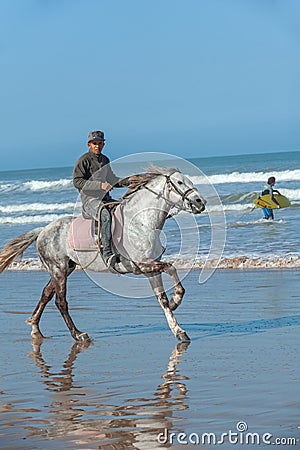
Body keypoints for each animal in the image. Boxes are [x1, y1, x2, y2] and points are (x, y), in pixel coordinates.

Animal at [0, 167, 205, 342]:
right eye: (179, 182)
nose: (200, 202)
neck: (141, 222)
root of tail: (43, 230)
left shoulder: (151, 268)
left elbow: (162, 299)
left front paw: (178, 329)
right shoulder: (142, 265)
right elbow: (171, 267)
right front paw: (176, 300)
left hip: (64, 269)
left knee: (46, 294)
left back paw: (35, 328)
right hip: (58, 270)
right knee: (60, 301)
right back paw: (78, 334)